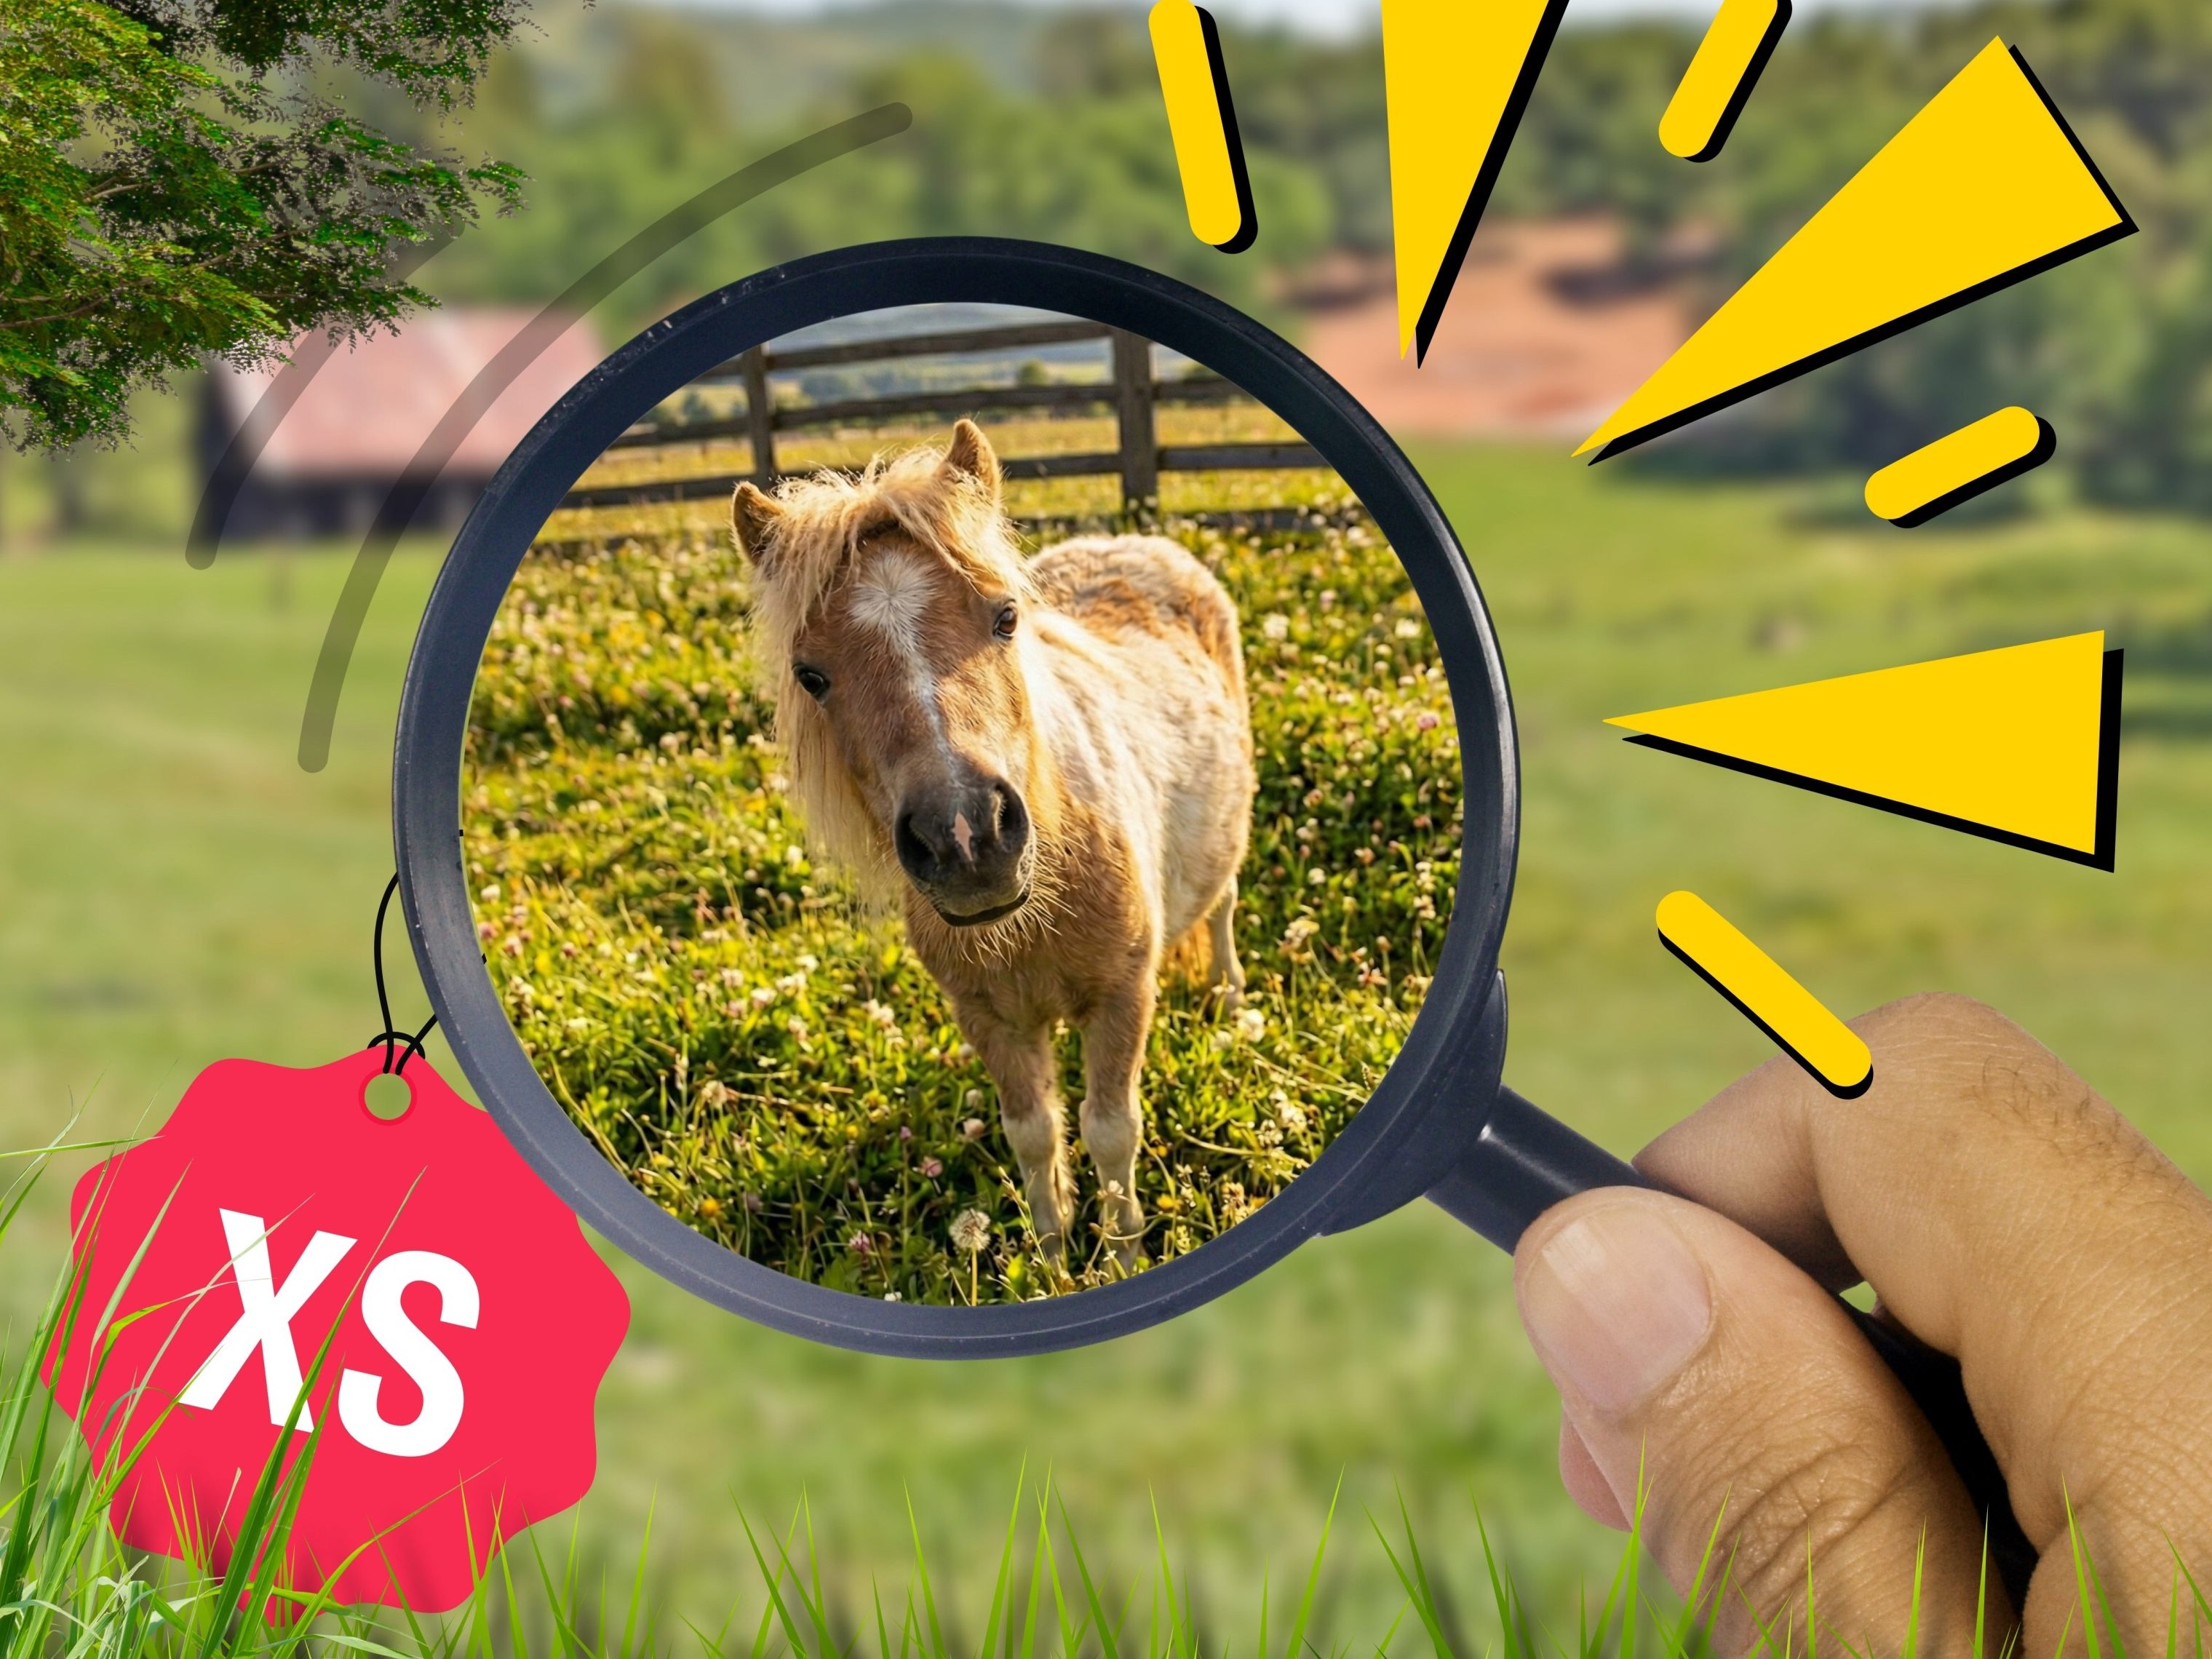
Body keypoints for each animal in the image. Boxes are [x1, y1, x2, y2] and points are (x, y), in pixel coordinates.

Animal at [731, 419, 1256, 1268]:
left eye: (1006, 618)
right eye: (810, 675)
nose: (965, 837)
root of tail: (1137, 539)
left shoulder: (1123, 995)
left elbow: (1111, 1132)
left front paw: (1122, 1255)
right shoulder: (989, 1018)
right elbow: (1034, 1135)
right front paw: (1052, 1259)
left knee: (1223, 907)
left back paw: (1231, 996)